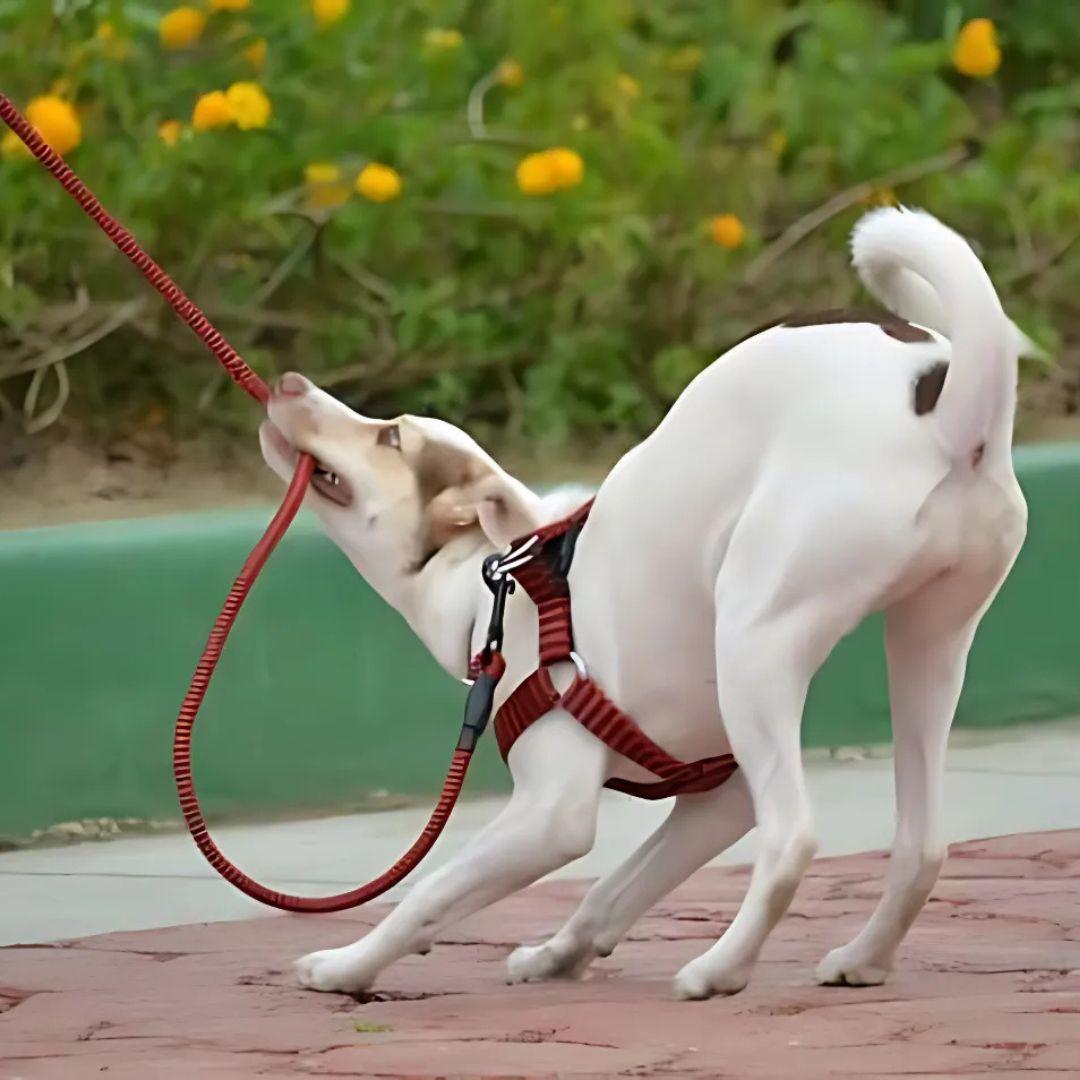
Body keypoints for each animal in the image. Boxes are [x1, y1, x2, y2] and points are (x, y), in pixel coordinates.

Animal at [259, 206, 1028, 997]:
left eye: (390, 436)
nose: (287, 380)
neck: (495, 582)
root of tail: (947, 410)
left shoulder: (553, 814)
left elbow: (427, 897)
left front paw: (347, 965)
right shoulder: (721, 794)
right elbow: (614, 890)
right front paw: (558, 955)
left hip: (755, 637)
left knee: (793, 838)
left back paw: (719, 969)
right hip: (927, 646)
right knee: (921, 844)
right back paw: (862, 958)